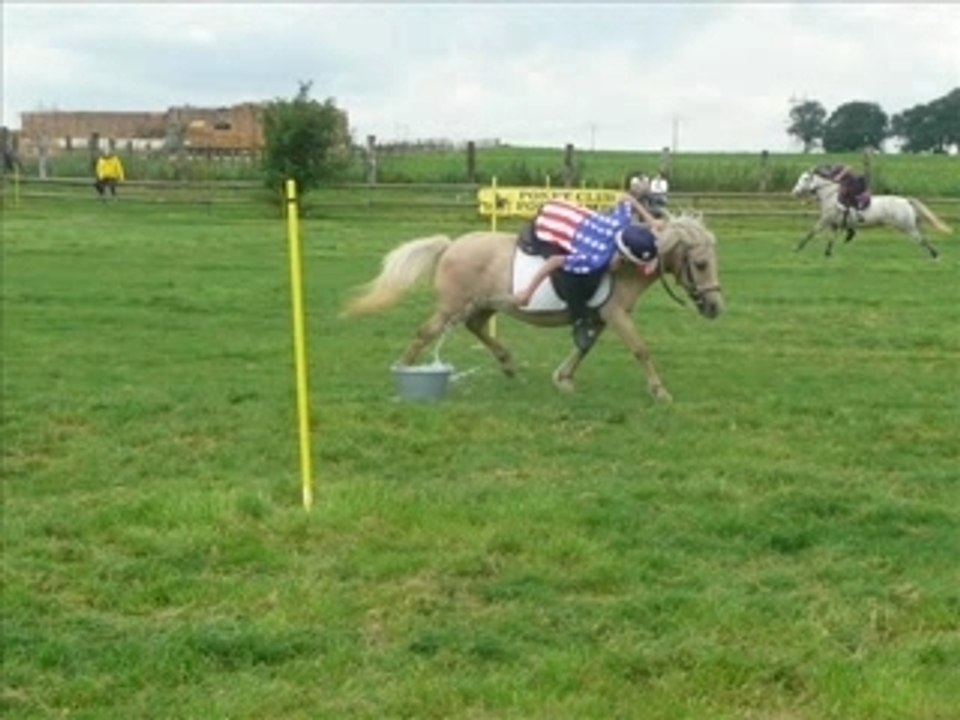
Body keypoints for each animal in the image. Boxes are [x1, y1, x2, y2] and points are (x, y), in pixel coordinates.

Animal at [342, 214, 724, 403]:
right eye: (701, 264)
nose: (716, 307)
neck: (621, 264)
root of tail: (450, 246)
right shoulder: (616, 315)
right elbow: (640, 349)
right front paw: (660, 391)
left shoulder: (601, 316)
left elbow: (583, 348)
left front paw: (564, 379)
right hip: (453, 306)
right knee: (426, 333)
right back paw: (406, 371)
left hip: (482, 305)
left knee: (477, 328)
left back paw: (508, 365)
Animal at [790, 169, 951, 259]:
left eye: (805, 179)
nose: (794, 192)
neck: (830, 195)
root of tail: (906, 200)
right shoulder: (833, 224)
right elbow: (830, 240)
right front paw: (827, 255)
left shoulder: (824, 220)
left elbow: (811, 233)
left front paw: (797, 248)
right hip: (908, 226)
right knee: (921, 239)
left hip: (907, 227)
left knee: (921, 240)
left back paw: (935, 256)